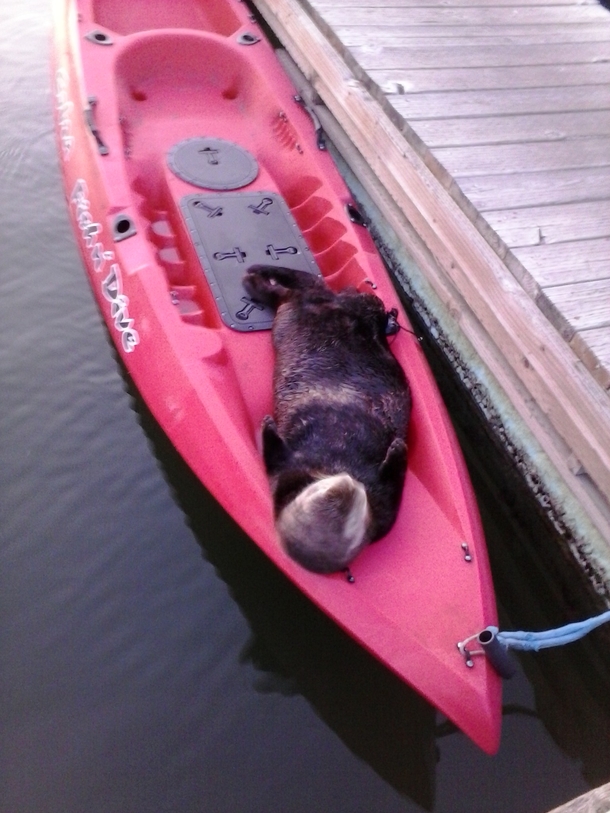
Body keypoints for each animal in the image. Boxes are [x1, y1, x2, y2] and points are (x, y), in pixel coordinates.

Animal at [242, 264, 408, 572]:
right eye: (320, 493)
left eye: (349, 496)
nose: (344, 479)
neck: (330, 462)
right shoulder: (282, 476)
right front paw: (268, 426)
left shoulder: (382, 510)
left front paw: (397, 448)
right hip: (312, 306)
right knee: (305, 288)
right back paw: (257, 277)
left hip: (311, 306)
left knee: (304, 289)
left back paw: (256, 278)